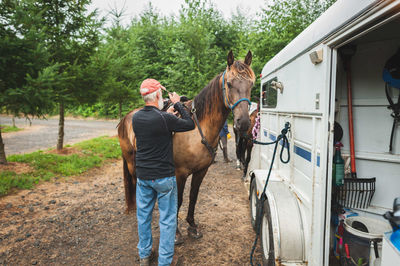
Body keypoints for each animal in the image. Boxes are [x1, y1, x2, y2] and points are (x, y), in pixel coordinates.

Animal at [117, 50, 255, 243]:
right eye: (229, 83)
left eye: (251, 84)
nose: (243, 123)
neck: (196, 129)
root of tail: (126, 118)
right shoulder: (179, 173)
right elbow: (179, 200)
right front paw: (175, 233)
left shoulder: (201, 171)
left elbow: (193, 197)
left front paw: (192, 226)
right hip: (131, 163)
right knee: (138, 184)